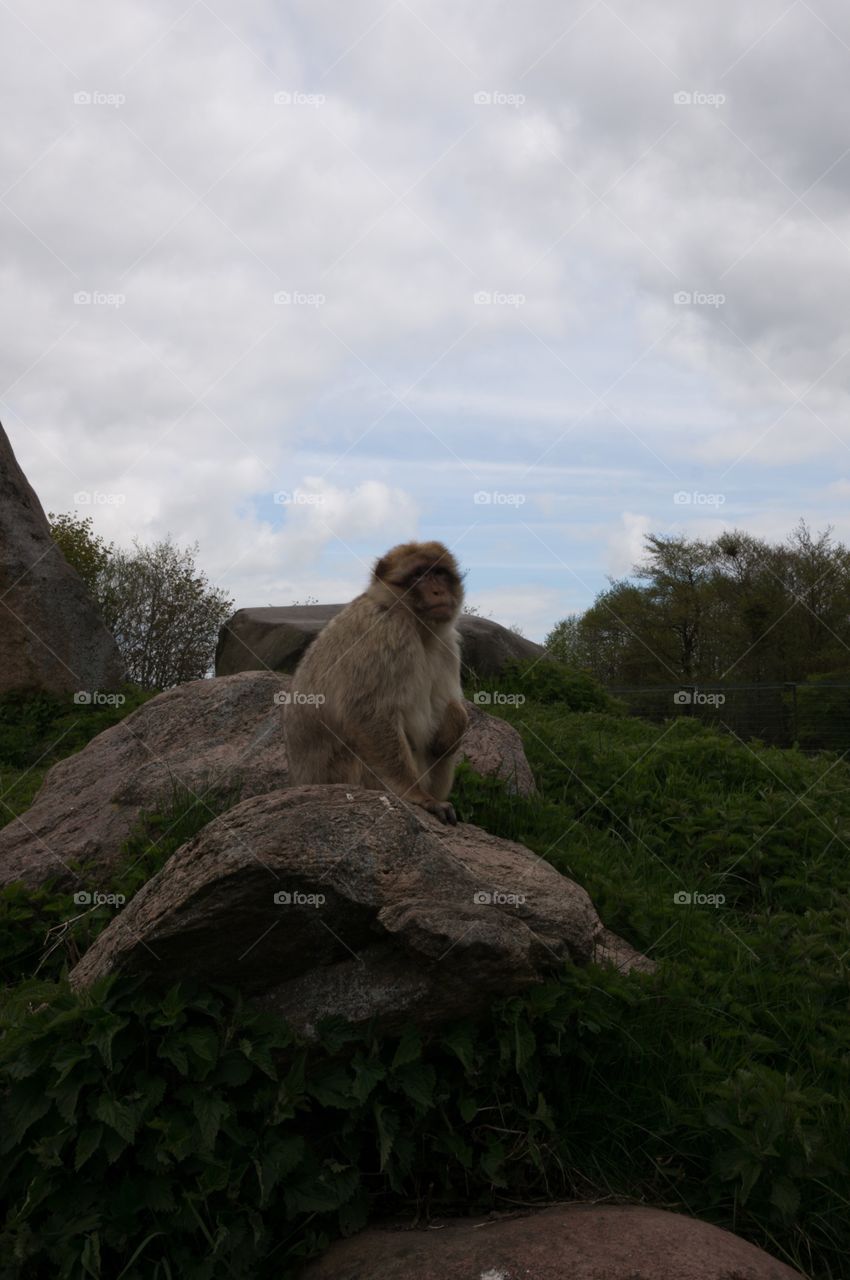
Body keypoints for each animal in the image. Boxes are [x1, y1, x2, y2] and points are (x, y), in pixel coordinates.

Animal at [284, 541, 469, 824]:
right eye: (418, 575)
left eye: (439, 573)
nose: (438, 591)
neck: (418, 628)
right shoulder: (387, 632)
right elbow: (368, 712)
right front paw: (417, 795)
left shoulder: (447, 644)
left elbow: (448, 703)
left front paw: (455, 725)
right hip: (344, 776)